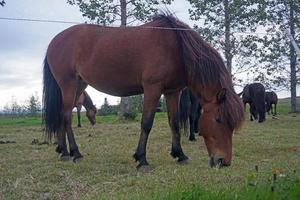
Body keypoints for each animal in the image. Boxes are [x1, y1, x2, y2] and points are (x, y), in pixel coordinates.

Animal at [42, 12, 244, 169]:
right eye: (218, 119)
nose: (223, 161)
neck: (175, 47)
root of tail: (53, 41)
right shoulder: (152, 89)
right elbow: (146, 123)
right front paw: (142, 159)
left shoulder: (172, 92)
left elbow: (174, 123)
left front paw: (180, 155)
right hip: (68, 85)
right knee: (66, 117)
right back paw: (74, 153)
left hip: (79, 86)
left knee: (62, 115)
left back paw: (63, 151)